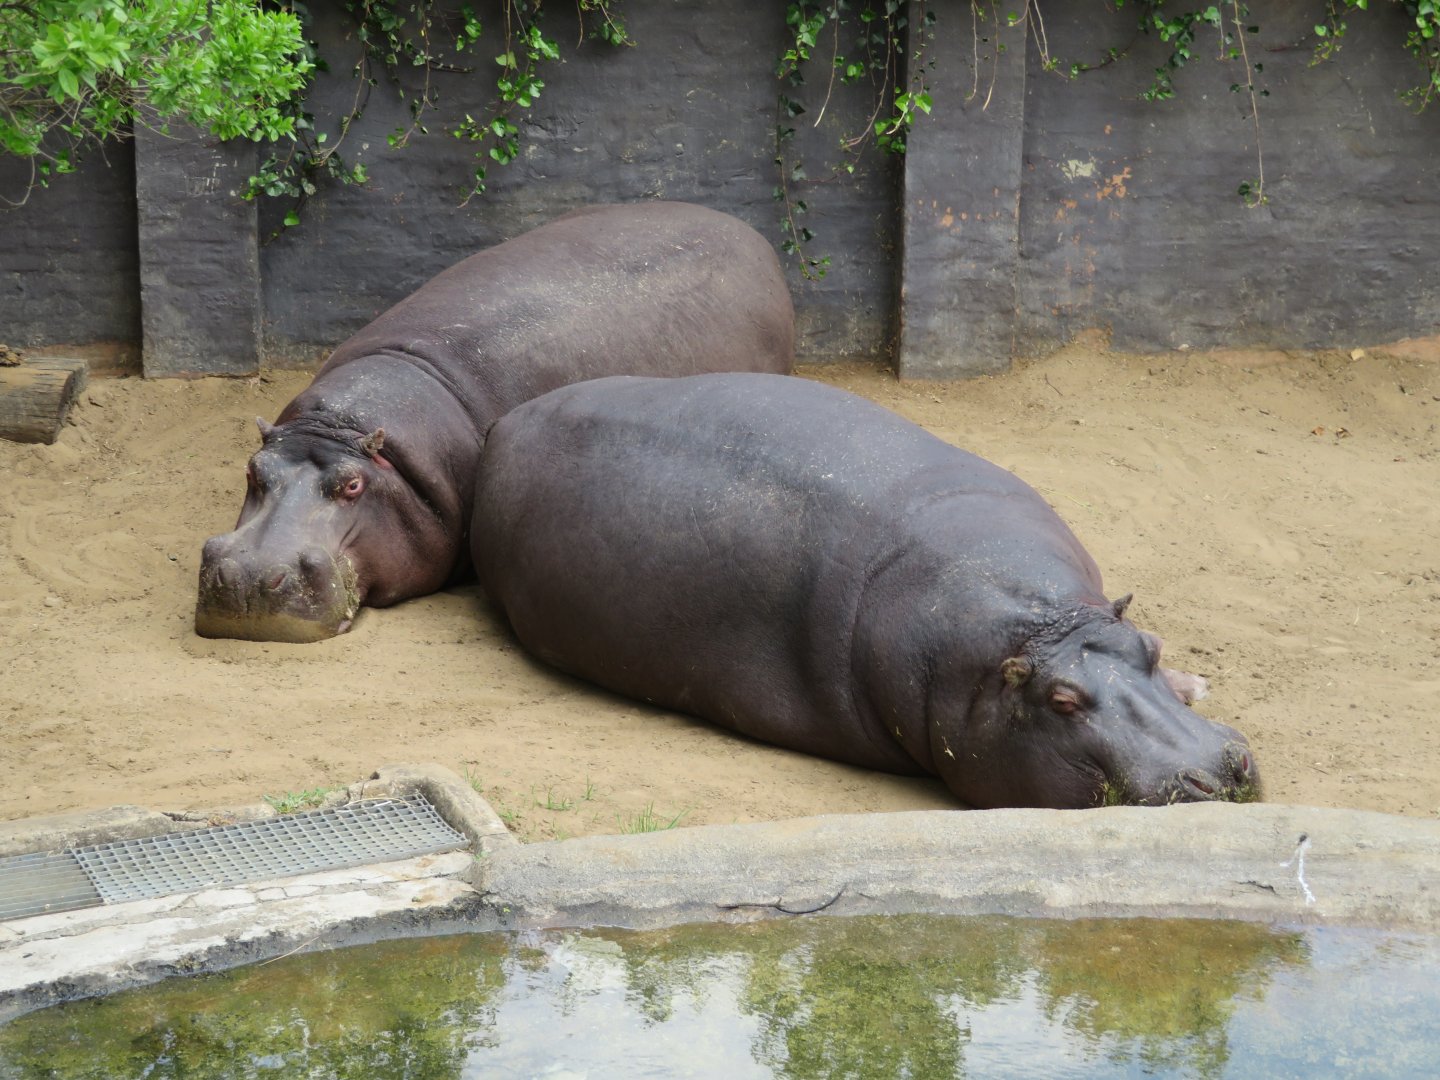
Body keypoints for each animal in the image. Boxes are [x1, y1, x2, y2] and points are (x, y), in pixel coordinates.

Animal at [472, 373, 1260, 810]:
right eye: (1062, 703)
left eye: (1151, 645)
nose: (1217, 774)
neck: (1042, 629)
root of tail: (505, 421)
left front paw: (1197, 683)